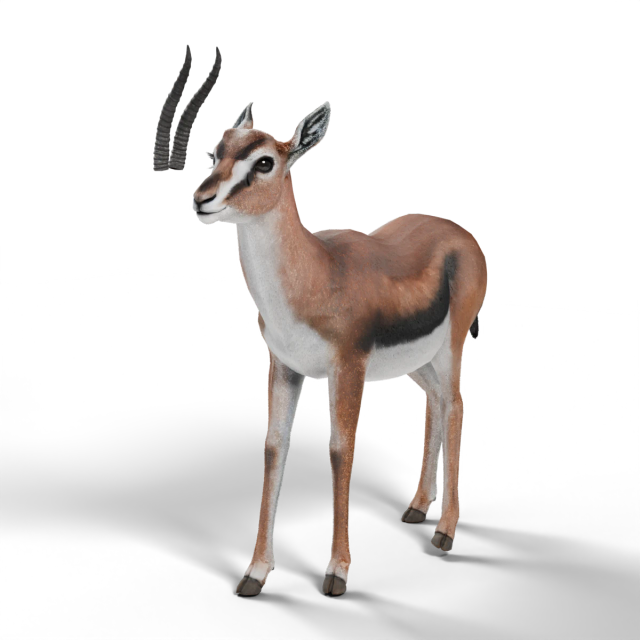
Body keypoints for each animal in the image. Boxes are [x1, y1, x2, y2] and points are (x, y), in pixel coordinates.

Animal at [154, 45, 489, 595]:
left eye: (264, 161)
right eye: (219, 149)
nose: (204, 199)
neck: (314, 273)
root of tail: (463, 235)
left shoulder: (346, 370)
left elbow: (339, 449)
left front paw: (337, 570)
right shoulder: (284, 367)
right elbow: (274, 446)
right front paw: (256, 571)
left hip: (449, 348)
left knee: (457, 406)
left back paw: (444, 530)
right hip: (416, 363)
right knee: (436, 403)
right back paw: (418, 507)